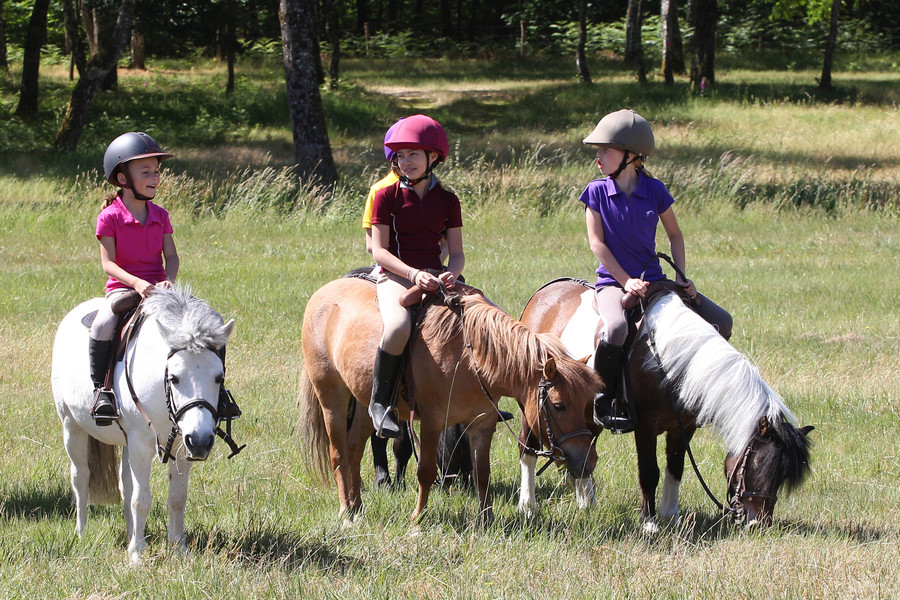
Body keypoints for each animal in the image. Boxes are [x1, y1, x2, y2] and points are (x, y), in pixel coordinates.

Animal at [51, 286, 236, 564]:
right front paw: (137, 555)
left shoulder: (181, 444)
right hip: (71, 427)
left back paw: (131, 535)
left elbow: (176, 498)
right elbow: (142, 499)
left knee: (125, 485)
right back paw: (82, 533)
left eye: (219, 377)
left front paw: (178, 548)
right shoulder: (142, 444)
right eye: (174, 377)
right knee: (81, 477)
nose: (201, 441)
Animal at [298, 278, 604, 524]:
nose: (587, 462)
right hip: (332, 397)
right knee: (338, 454)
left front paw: (486, 519)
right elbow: (425, 470)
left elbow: (482, 472)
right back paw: (346, 513)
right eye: (559, 405)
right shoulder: (433, 422)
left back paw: (357, 506)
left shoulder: (482, 423)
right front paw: (418, 519)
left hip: (364, 403)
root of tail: (322, 293)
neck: (469, 357)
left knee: (353, 449)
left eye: (587, 404)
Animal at [516, 278, 812, 528]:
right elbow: (650, 472)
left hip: (585, 416)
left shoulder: (683, 428)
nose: (758, 523)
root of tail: (543, 293)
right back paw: (528, 505)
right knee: (529, 449)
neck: (670, 362)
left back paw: (586, 502)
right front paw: (649, 522)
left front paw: (671, 516)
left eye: (782, 474)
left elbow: (675, 468)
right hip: (536, 410)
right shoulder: (645, 427)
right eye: (760, 464)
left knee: (583, 453)